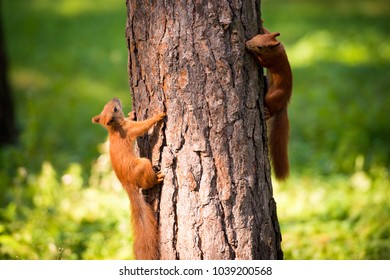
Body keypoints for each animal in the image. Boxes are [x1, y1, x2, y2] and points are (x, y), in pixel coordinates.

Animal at [93, 97, 166, 260]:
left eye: (106, 106)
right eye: (115, 109)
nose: (115, 98)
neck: (115, 129)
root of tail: (126, 184)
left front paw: (132, 114)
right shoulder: (129, 130)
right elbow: (142, 126)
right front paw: (158, 116)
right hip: (143, 164)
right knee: (147, 182)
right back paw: (157, 178)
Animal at [245, 25, 290, 179]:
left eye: (260, 46)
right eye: (257, 35)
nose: (247, 43)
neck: (277, 49)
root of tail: (285, 103)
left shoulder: (271, 61)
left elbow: (261, 62)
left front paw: (251, 53)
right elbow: (269, 32)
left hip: (272, 96)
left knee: (271, 109)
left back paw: (265, 113)